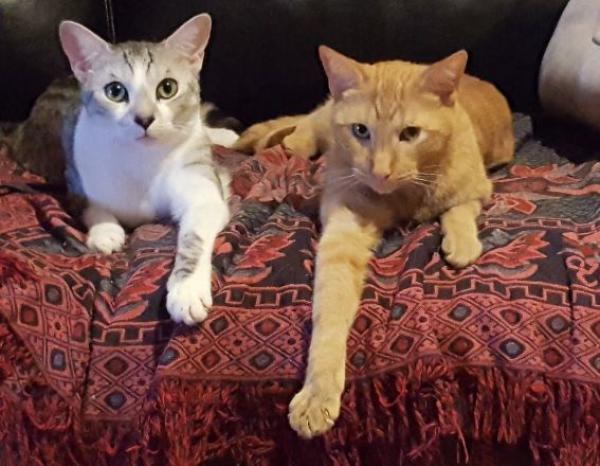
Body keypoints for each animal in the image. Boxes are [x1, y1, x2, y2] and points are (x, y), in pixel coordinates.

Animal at [6, 14, 238, 325]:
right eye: (115, 91)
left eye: (167, 87)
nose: (144, 118)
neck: (143, 160)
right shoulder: (77, 178)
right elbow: (92, 205)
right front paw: (105, 231)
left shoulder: (202, 189)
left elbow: (195, 236)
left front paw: (187, 290)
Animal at [236, 46, 514, 437]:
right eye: (360, 131)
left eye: (411, 133)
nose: (380, 171)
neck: (404, 195)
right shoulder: (344, 231)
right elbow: (330, 311)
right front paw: (318, 390)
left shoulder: (476, 188)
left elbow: (458, 210)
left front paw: (462, 242)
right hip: (311, 133)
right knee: (293, 136)